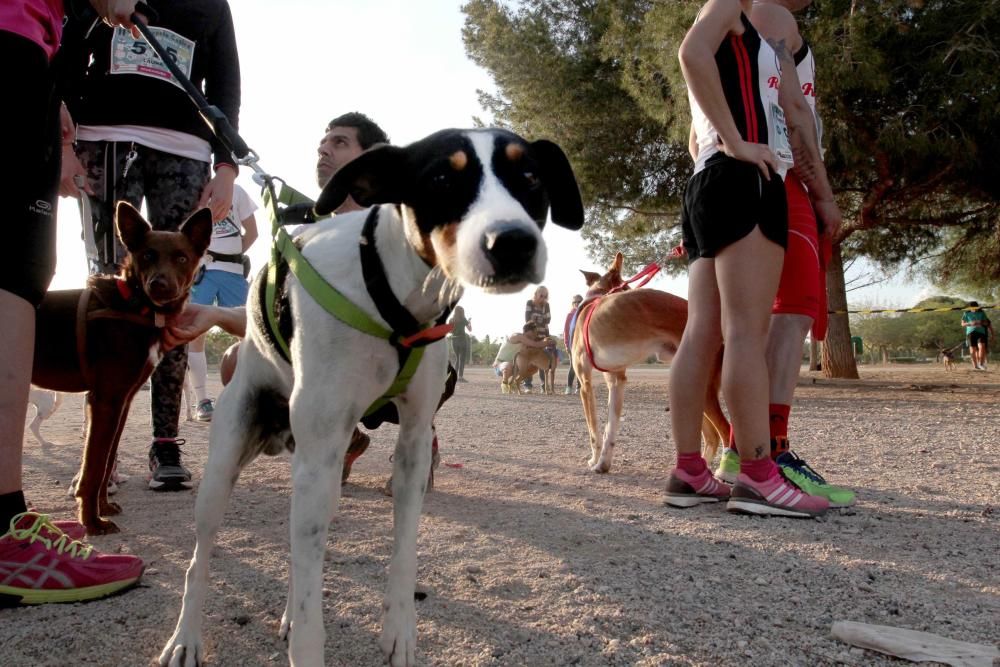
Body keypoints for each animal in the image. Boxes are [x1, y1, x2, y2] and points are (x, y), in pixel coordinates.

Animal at [31, 201, 211, 536]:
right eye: (147, 255)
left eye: (181, 257)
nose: (159, 285)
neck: (137, 307)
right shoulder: (105, 401)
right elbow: (93, 468)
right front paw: (91, 523)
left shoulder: (122, 402)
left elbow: (106, 462)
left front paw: (103, 509)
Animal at [159, 129, 584, 667]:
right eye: (440, 177)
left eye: (529, 174)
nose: (512, 241)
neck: (394, 296)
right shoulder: (321, 453)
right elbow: (309, 604)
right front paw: (306, 644)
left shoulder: (414, 442)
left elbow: (402, 550)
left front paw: (399, 629)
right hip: (229, 465)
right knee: (201, 557)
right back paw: (185, 638)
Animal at [572, 252, 728, 474]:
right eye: (627, 289)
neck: (595, 299)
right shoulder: (617, 380)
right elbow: (610, 429)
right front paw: (603, 463)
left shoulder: (584, 383)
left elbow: (594, 429)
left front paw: (594, 460)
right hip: (689, 389)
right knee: (712, 436)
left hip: (703, 389)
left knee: (726, 431)